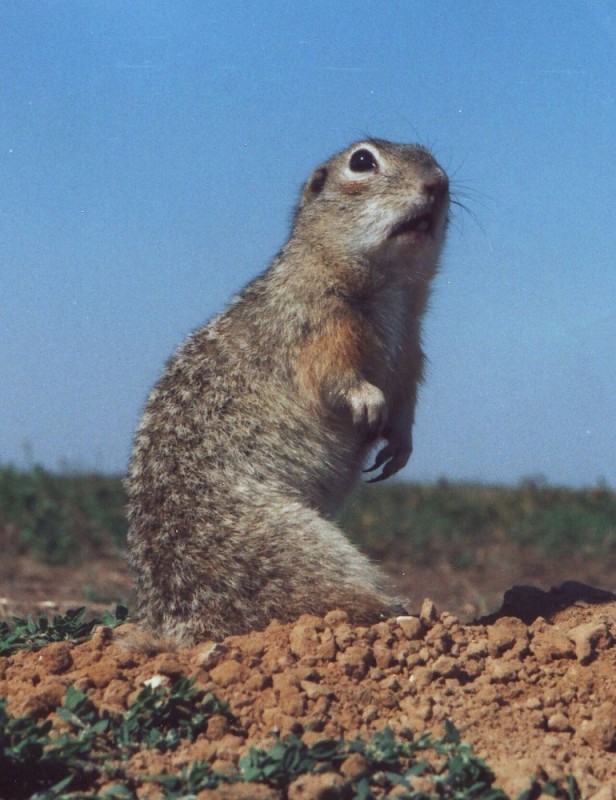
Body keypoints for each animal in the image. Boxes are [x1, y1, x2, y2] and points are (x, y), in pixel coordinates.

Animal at [127, 141, 450, 648]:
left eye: (432, 156)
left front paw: (398, 447)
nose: (438, 182)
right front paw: (367, 402)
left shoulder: (412, 350)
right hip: (291, 542)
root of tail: (163, 629)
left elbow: (406, 400)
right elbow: (333, 372)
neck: (394, 291)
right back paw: (396, 612)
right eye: (362, 161)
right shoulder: (318, 322)